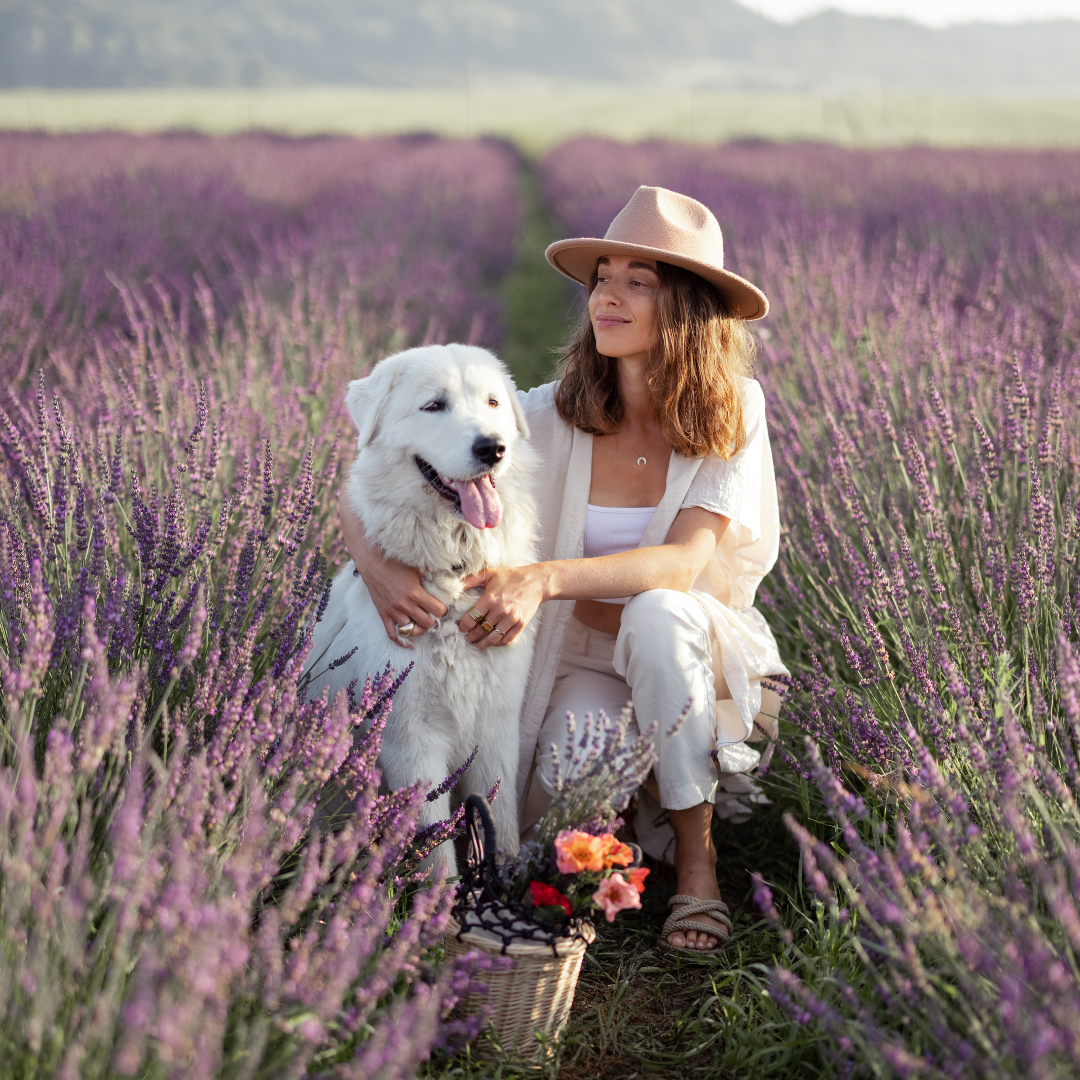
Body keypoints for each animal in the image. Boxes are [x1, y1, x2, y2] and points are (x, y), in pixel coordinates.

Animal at [302, 341, 537, 872]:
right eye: (434, 406)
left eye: (493, 402)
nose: (492, 448)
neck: (451, 578)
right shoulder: (412, 742)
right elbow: (436, 854)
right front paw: (446, 895)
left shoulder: (496, 731)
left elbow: (502, 821)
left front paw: (503, 877)